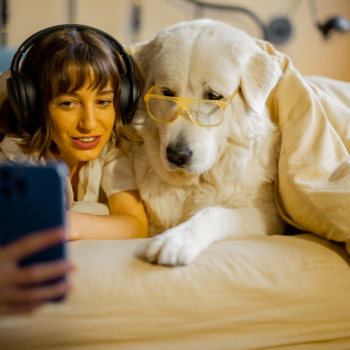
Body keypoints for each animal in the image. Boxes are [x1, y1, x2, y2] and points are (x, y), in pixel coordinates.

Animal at [133, 19, 286, 266]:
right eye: (167, 93)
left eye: (213, 96)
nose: (177, 155)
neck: (196, 183)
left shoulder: (267, 216)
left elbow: (214, 212)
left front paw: (176, 239)